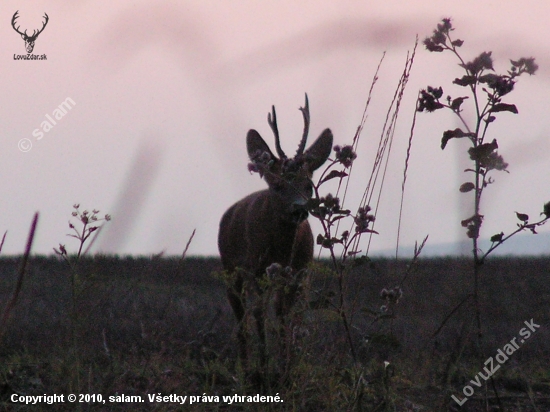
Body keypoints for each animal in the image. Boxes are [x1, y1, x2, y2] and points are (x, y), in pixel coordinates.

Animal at [219, 95, 332, 366]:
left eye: (308, 185)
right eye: (278, 185)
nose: (299, 209)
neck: (282, 250)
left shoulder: (300, 273)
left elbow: (287, 317)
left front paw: (287, 363)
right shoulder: (255, 268)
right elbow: (260, 314)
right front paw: (265, 362)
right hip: (231, 268)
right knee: (242, 318)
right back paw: (247, 364)